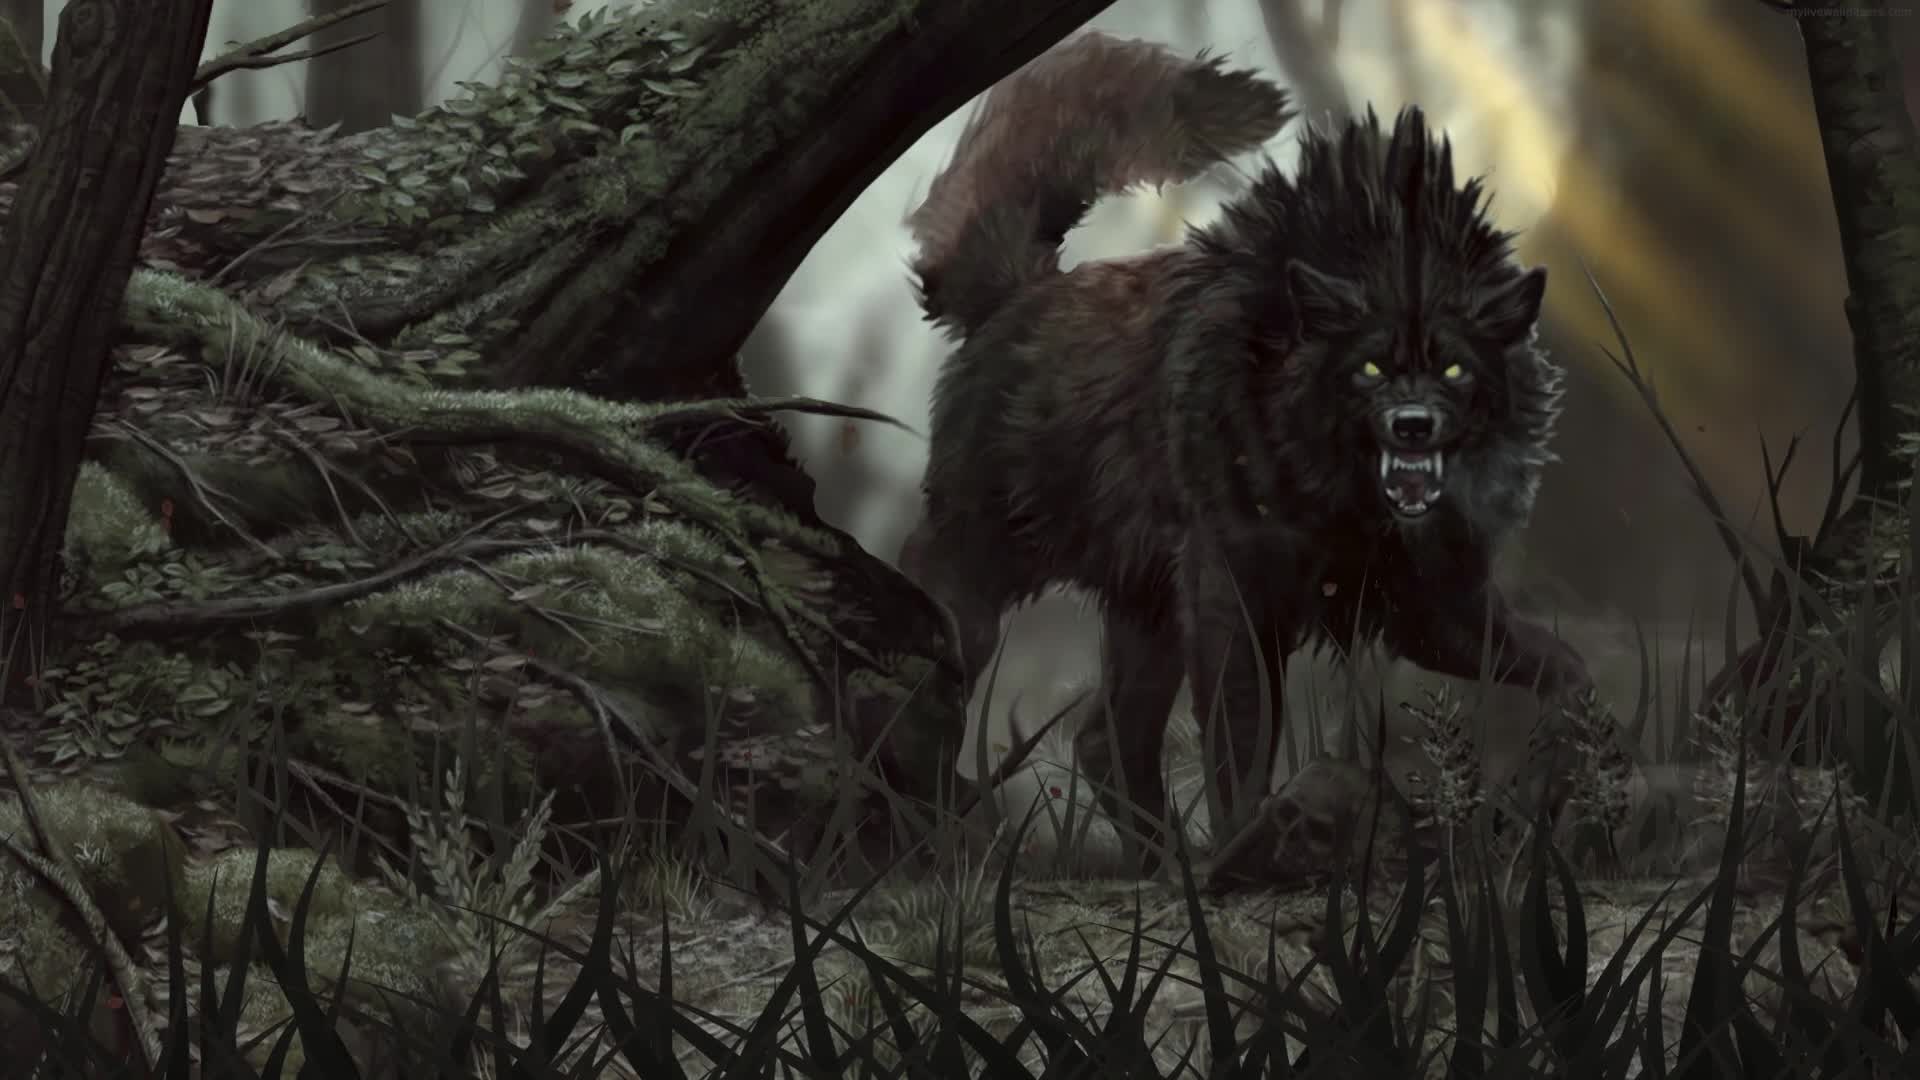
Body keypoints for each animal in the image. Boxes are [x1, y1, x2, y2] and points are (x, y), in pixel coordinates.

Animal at [900, 32, 1594, 860]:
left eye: (1455, 368)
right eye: (1368, 368)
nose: (1413, 425)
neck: (1345, 504)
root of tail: (1019, 292)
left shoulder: (1434, 609)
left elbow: (1567, 671)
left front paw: (1565, 775)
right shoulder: (1234, 594)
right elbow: (1241, 741)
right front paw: (1250, 840)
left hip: (1149, 610)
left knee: (1105, 736)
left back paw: (1163, 863)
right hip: (993, 573)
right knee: (932, 646)